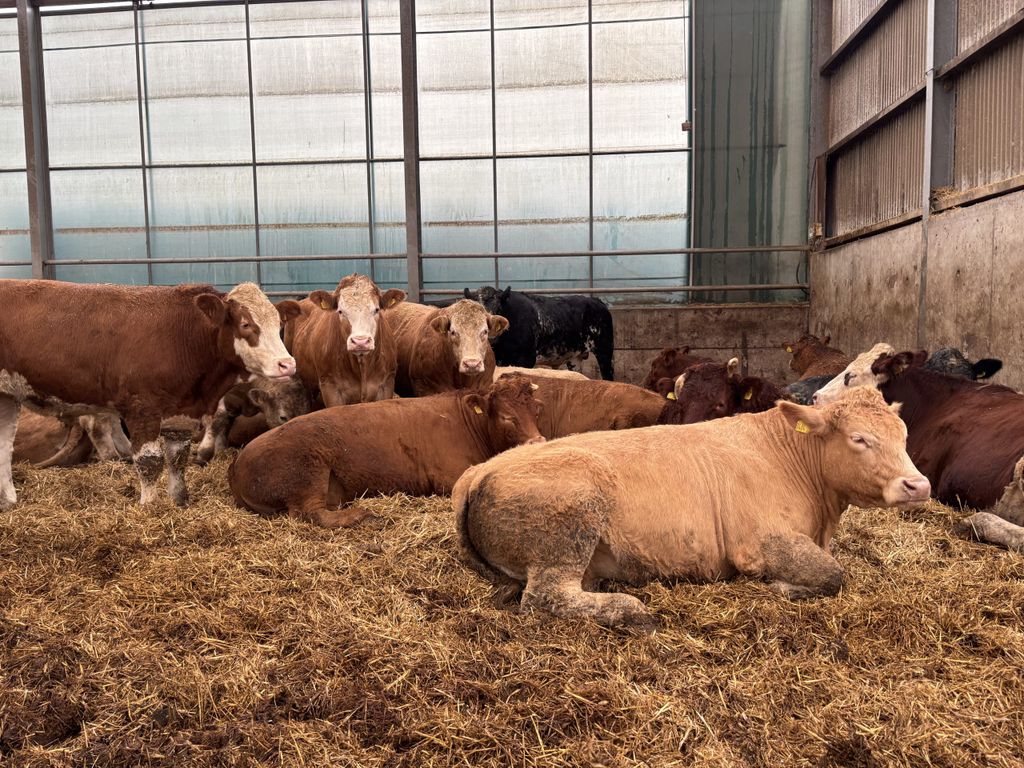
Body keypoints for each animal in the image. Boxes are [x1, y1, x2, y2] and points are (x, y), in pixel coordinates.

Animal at [0, 280, 299, 508]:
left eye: (278, 324)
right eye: (246, 324)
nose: (287, 364)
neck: (184, 336)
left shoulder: (180, 415)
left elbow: (177, 459)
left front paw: (179, 502)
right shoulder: (142, 410)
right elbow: (150, 462)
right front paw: (149, 507)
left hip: (7, 397)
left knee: (4, 447)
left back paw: (9, 502)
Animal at [228, 374, 544, 528]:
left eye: (536, 409)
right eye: (506, 417)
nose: (537, 441)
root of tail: (238, 462)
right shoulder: (448, 476)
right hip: (306, 471)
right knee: (311, 514)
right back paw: (362, 515)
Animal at [453, 386, 930, 626]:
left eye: (905, 434)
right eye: (859, 438)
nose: (918, 485)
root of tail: (480, 471)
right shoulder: (760, 541)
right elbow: (833, 574)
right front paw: (782, 587)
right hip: (572, 517)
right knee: (545, 597)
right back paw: (629, 610)